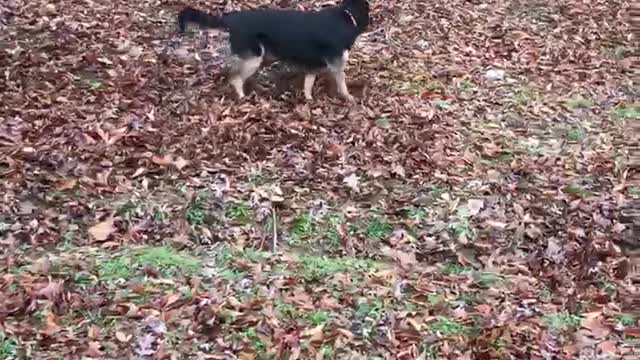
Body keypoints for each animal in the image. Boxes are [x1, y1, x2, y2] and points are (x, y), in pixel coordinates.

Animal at [178, 0, 372, 101]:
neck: (346, 16)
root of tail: (230, 19)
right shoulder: (336, 65)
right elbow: (342, 85)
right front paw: (349, 98)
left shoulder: (312, 66)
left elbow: (308, 84)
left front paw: (308, 100)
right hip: (255, 57)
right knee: (235, 79)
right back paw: (243, 98)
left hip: (264, 57)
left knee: (246, 77)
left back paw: (259, 89)